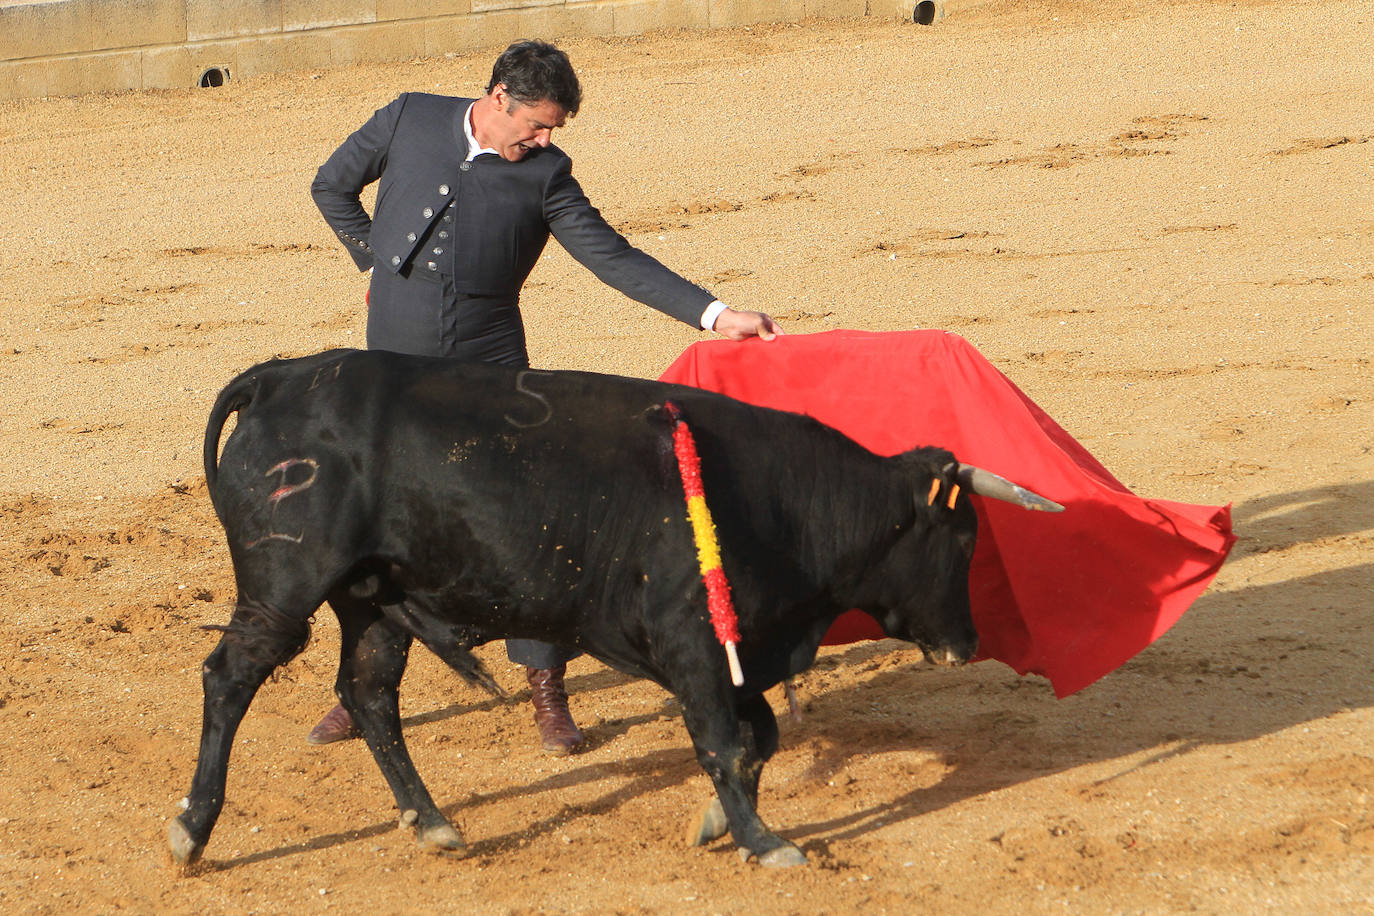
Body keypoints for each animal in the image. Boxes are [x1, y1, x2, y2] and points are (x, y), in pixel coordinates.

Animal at [166, 347, 1055, 873]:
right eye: (962, 539)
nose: (968, 641)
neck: (787, 502)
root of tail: (278, 376)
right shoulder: (696, 645)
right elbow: (725, 743)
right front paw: (765, 843)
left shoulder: (732, 651)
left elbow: (759, 737)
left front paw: (716, 825)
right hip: (284, 586)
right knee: (229, 679)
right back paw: (191, 831)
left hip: (373, 600)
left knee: (370, 693)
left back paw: (433, 824)